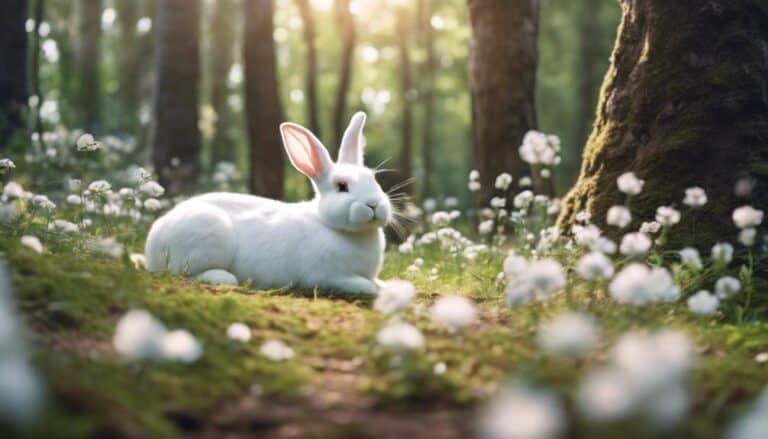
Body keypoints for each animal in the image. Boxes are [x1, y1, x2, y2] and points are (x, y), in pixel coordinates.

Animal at [145, 112, 391, 295]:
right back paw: (225, 277)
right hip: (206, 236)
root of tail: (153, 242)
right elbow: (366, 286)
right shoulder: (328, 276)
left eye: (374, 179)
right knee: (186, 272)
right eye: (342, 186)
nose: (373, 204)